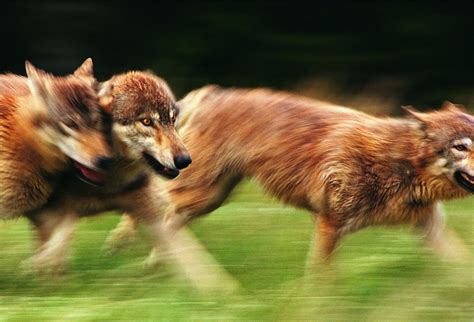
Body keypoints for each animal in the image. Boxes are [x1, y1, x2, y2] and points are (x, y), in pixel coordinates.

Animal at [109, 86, 472, 266]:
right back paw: (124, 242)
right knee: (153, 197)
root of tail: (206, 93)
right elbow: (320, 283)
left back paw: (154, 260)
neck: (399, 162)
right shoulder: (329, 225)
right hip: (199, 194)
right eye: (462, 147)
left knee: (163, 214)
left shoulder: (431, 229)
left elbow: (462, 269)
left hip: (208, 200)